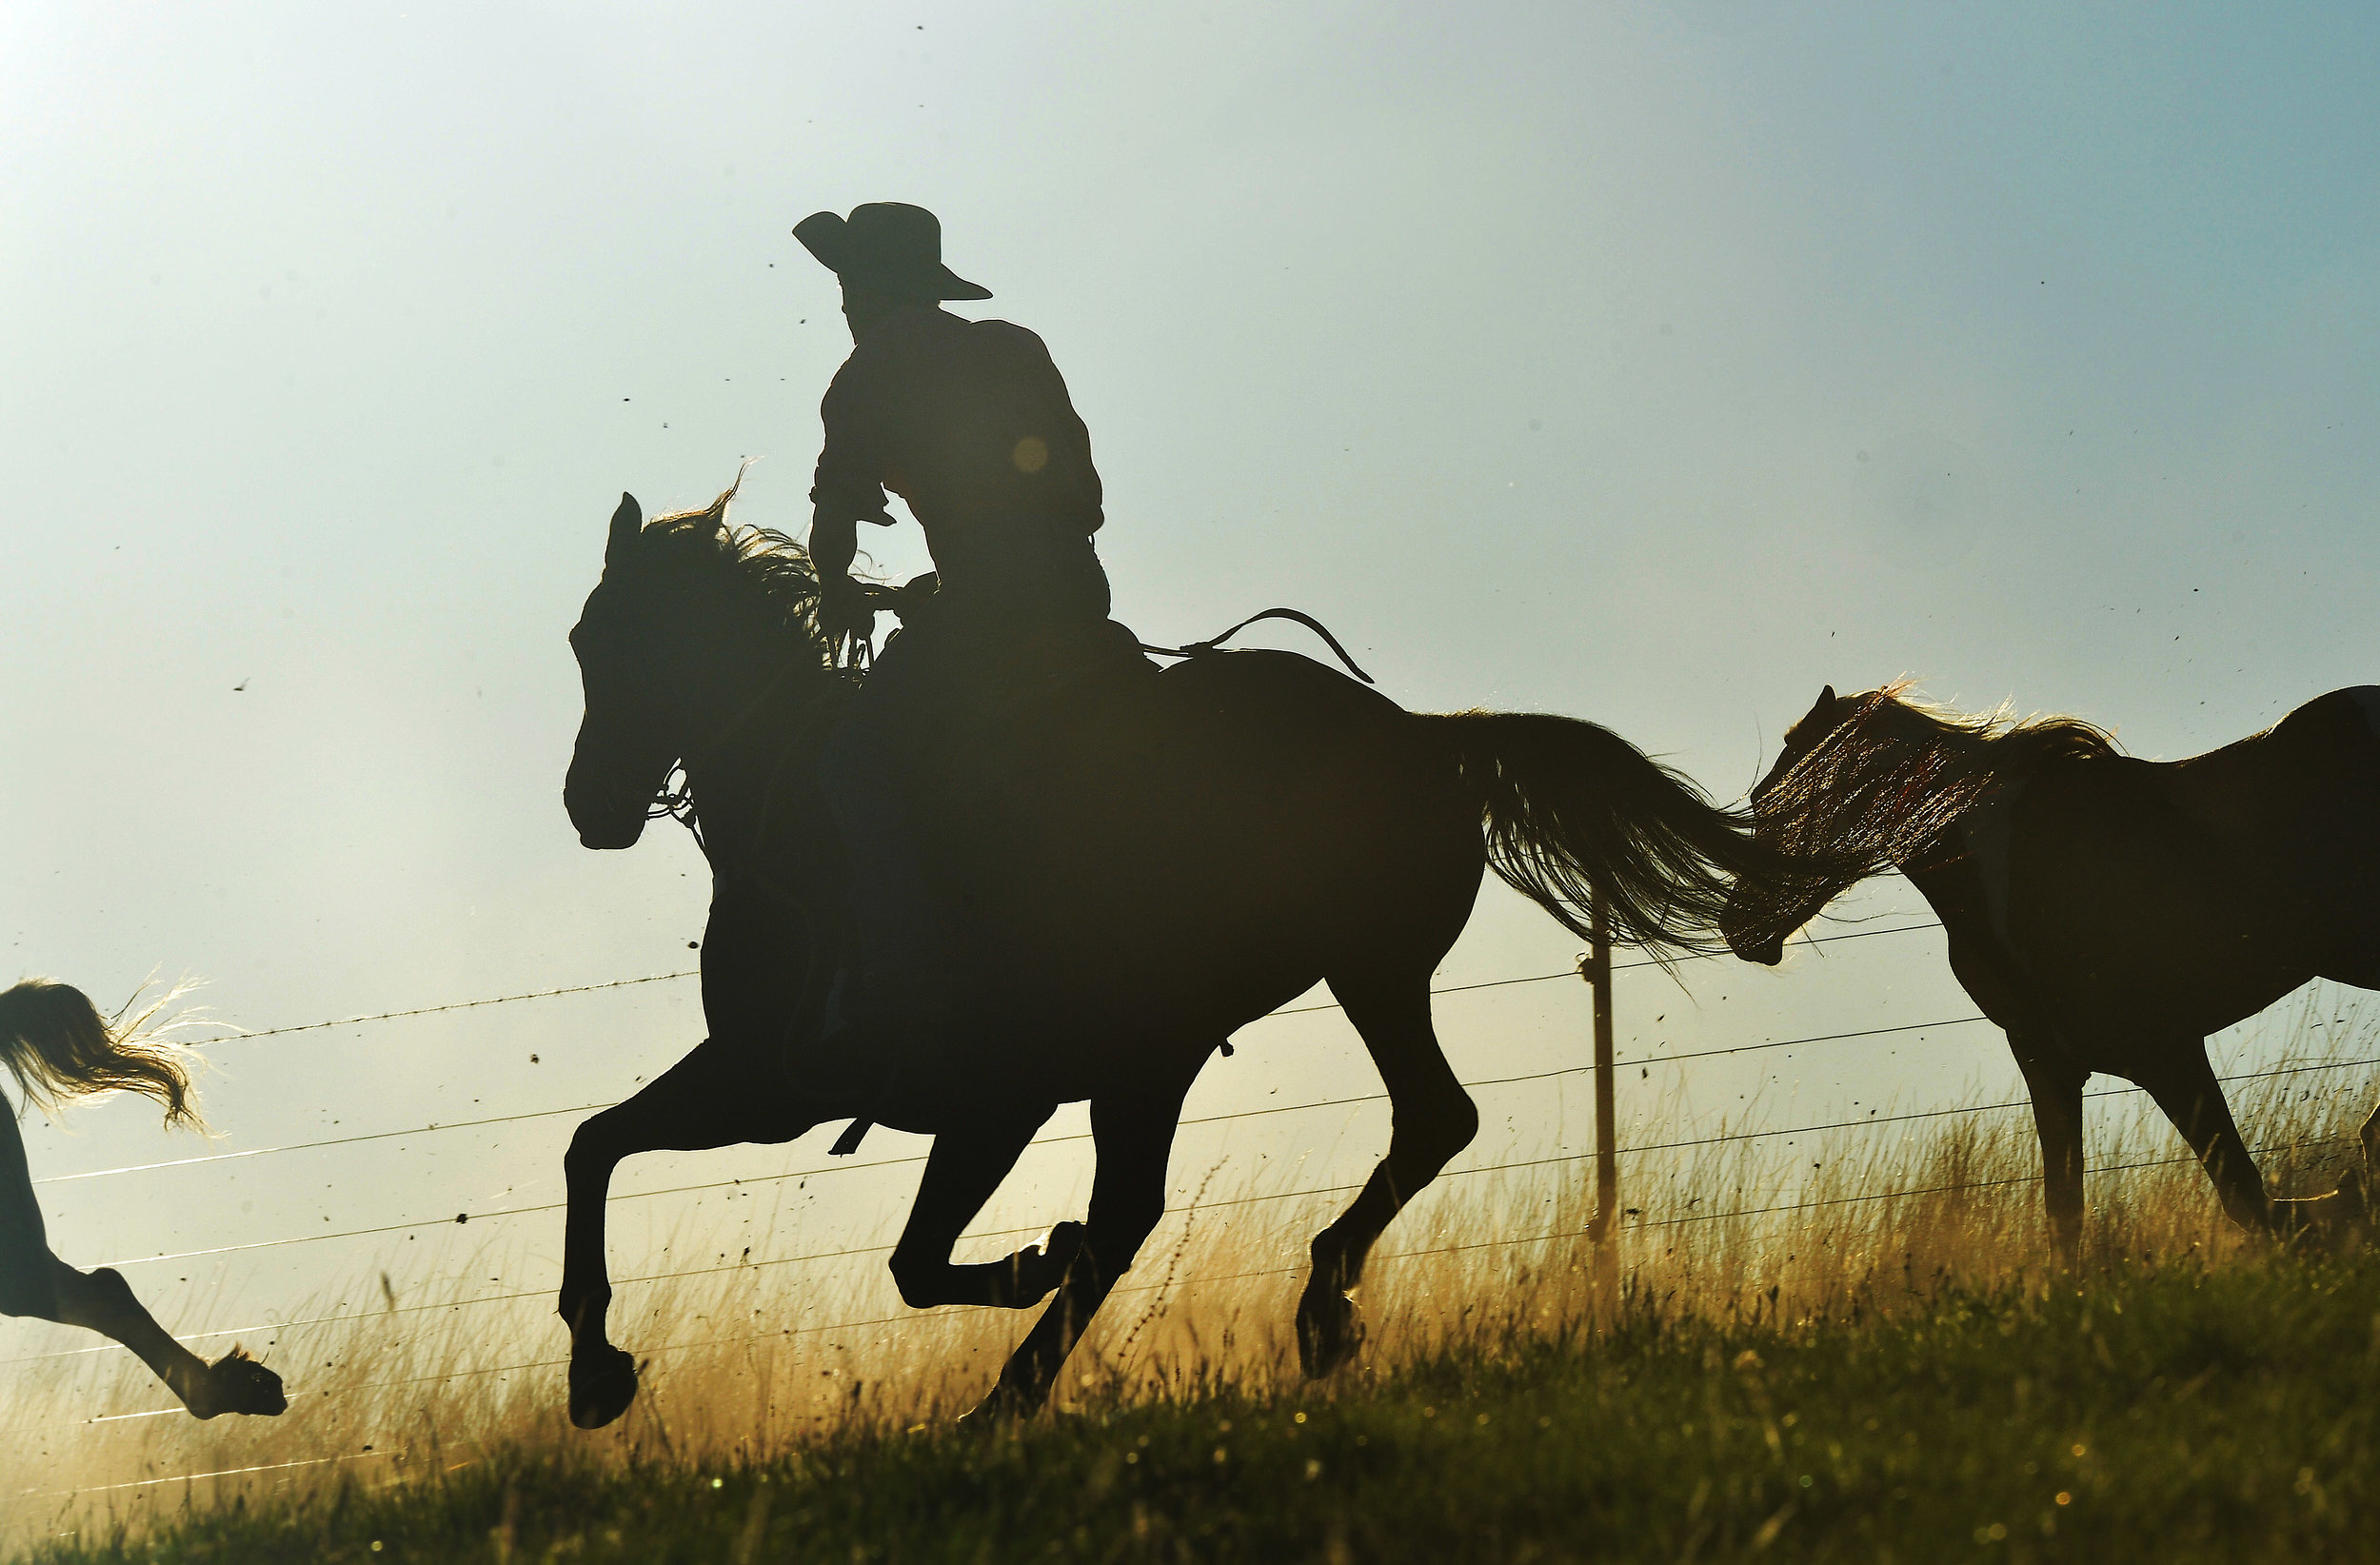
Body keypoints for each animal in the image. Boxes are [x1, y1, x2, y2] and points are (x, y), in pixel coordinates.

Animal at [547, 480, 1799, 1417]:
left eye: (625, 640)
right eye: (579, 638)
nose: (589, 805)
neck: (794, 820)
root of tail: (1428, 738)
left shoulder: (966, 1093)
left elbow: (919, 1259)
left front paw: (1025, 1260)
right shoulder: (774, 1084)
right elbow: (595, 1144)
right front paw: (597, 1372)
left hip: (1289, 998)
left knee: (1323, 1154)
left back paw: (1256, 1327)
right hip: (1268, 1012)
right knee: (1315, 1156)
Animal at [1723, 684, 2380, 1256]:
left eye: (1779, 799)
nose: (1739, 926)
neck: (2003, 871)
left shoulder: (2162, 1049)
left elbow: (2245, 1194)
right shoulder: (2050, 1062)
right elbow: (2065, 1215)